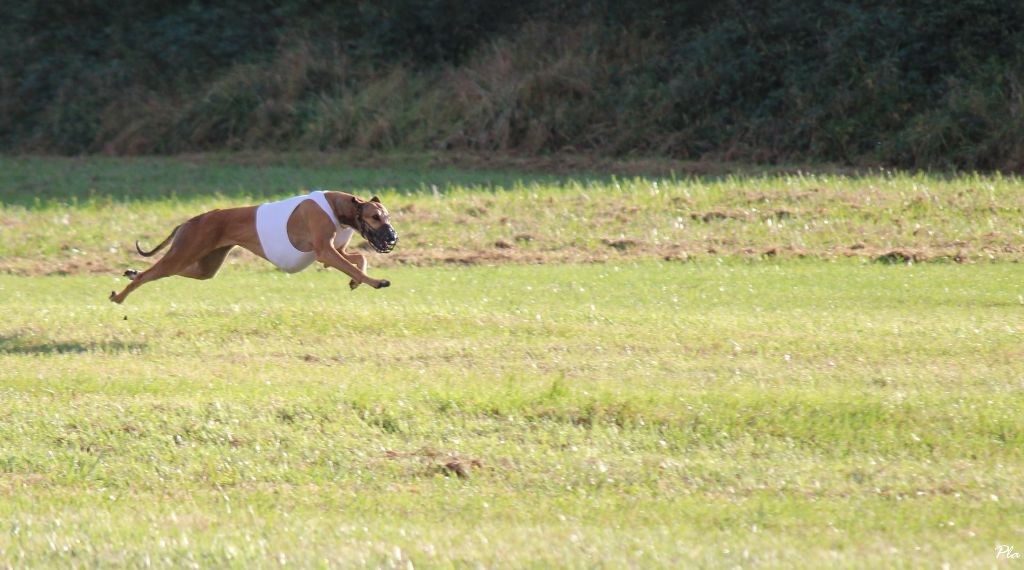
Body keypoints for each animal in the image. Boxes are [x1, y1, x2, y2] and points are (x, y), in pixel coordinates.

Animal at [110, 190, 397, 304]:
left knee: (174, 272)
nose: (392, 237)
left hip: (205, 264)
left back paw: (132, 272)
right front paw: (376, 282)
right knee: (153, 273)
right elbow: (354, 265)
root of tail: (190, 221)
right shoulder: (325, 252)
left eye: (388, 216)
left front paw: (356, 281)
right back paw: (120, 295)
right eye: (375, 217)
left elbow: (358, 259)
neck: (338, 207)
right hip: (186, 250)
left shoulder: (334, 253)